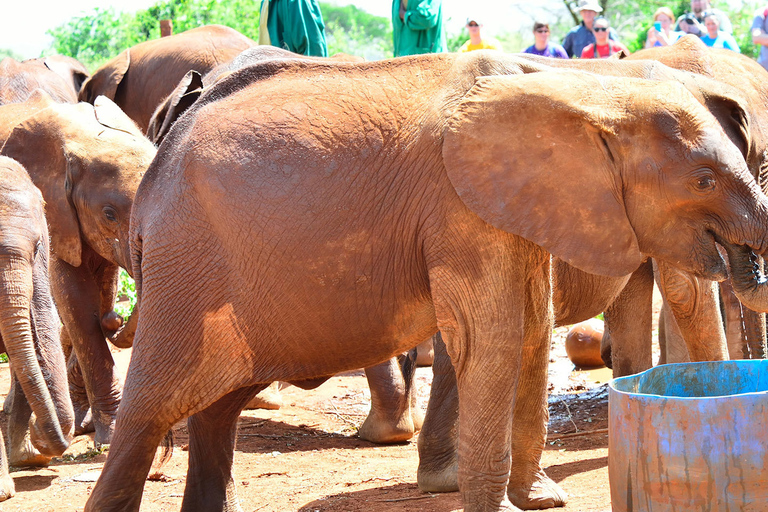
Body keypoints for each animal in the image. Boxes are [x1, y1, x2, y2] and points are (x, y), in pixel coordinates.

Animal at [0, 90, 158, 446]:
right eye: (109, 214)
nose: (116, 319)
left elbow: (102, 290)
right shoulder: (56, 212)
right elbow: (76, 303)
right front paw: (109, 435)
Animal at [85, 51, 768, 512]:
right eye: (704, 179)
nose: (748, 260)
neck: (589, 90)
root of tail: (156, 167)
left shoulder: (516, 207)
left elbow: (529, 331)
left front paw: (538, 500)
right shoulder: (460, 209)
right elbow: (494, 338)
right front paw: (502, 502)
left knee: (216, 410)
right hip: (187, 267)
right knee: (152, 410)